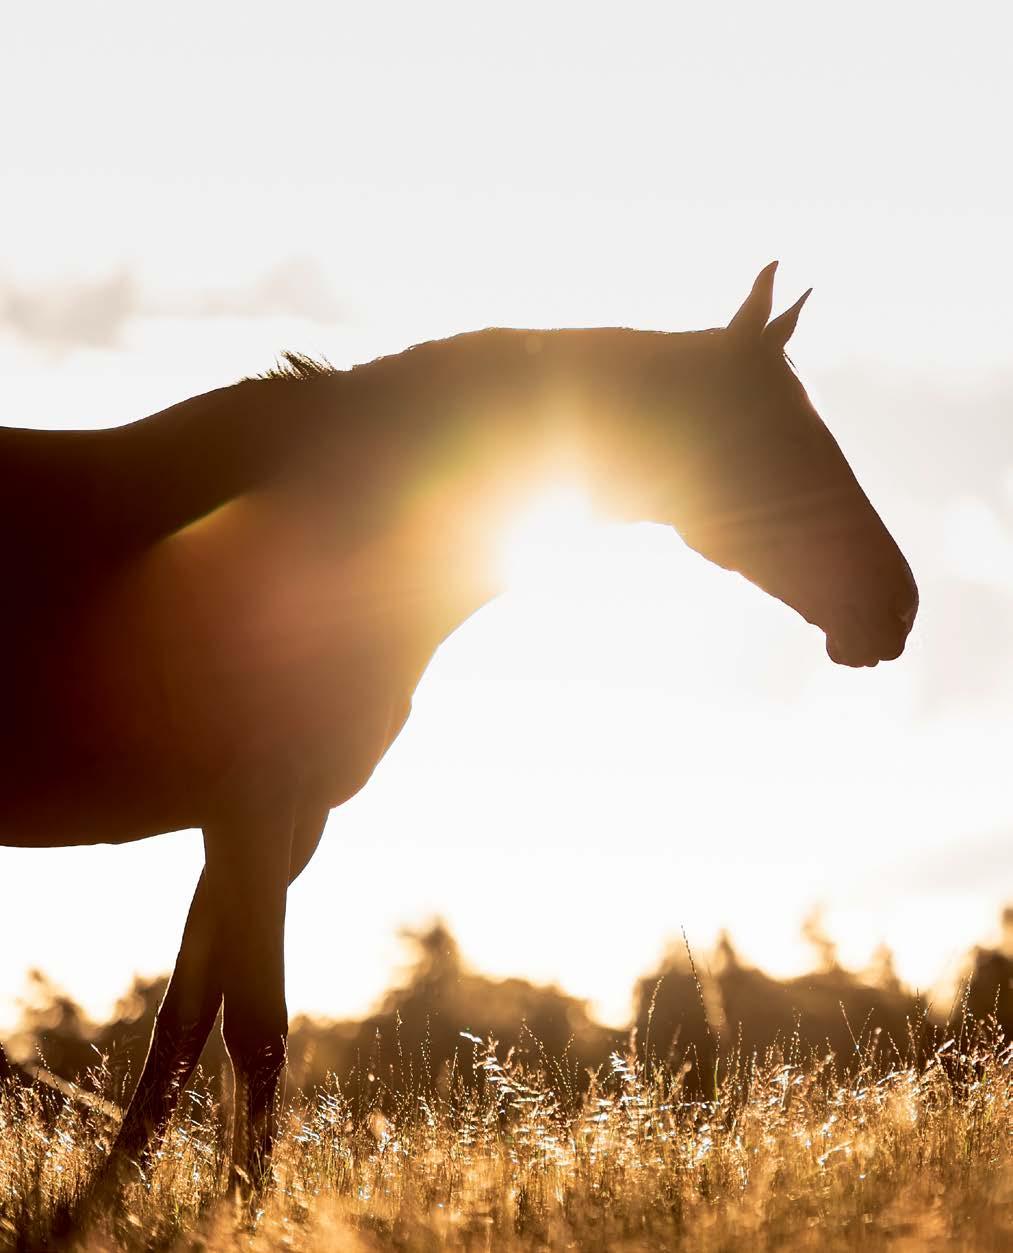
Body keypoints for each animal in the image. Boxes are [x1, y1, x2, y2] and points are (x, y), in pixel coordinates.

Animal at [0, 261, 917, 1192]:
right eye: (780, 437)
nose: (896, 603)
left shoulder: (272, 825)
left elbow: (184, 1027)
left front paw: (111, 1203)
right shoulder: (254, 810)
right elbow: (253, 1032)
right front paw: (236, 1208)